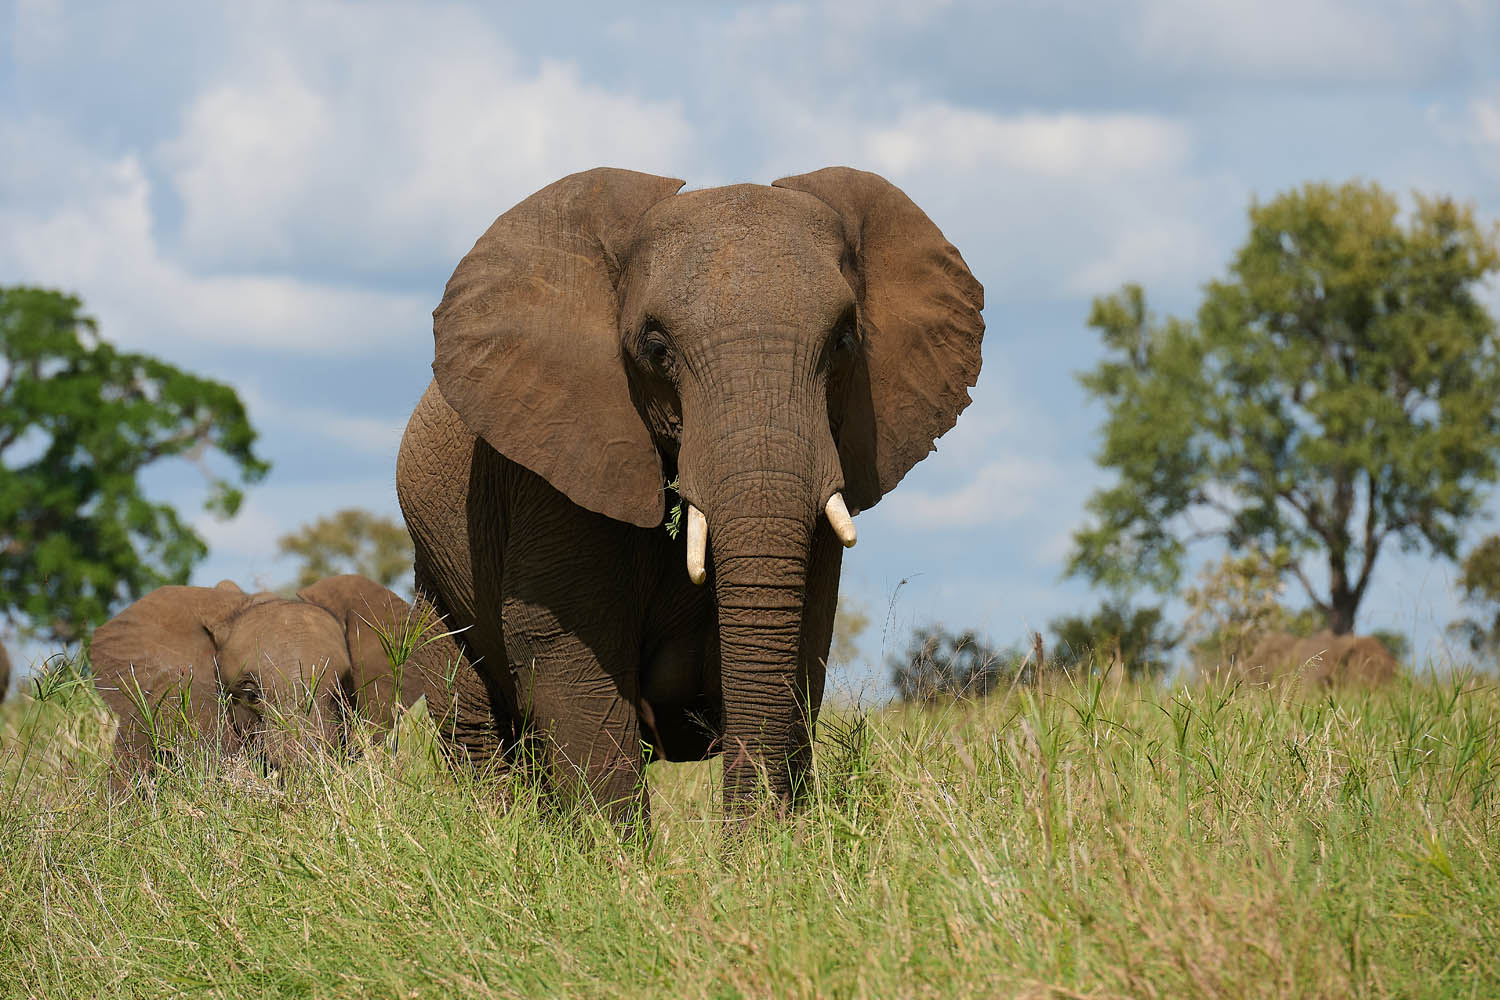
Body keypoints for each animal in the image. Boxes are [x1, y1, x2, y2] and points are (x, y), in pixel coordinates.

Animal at [397, 166, 984, 818]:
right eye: (657, 352)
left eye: (843, 343)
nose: (752, 843)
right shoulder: (551, 466)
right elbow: (565, 656)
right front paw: (616, 847)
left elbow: (802, 643)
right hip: (436, 576)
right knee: (472, 723)